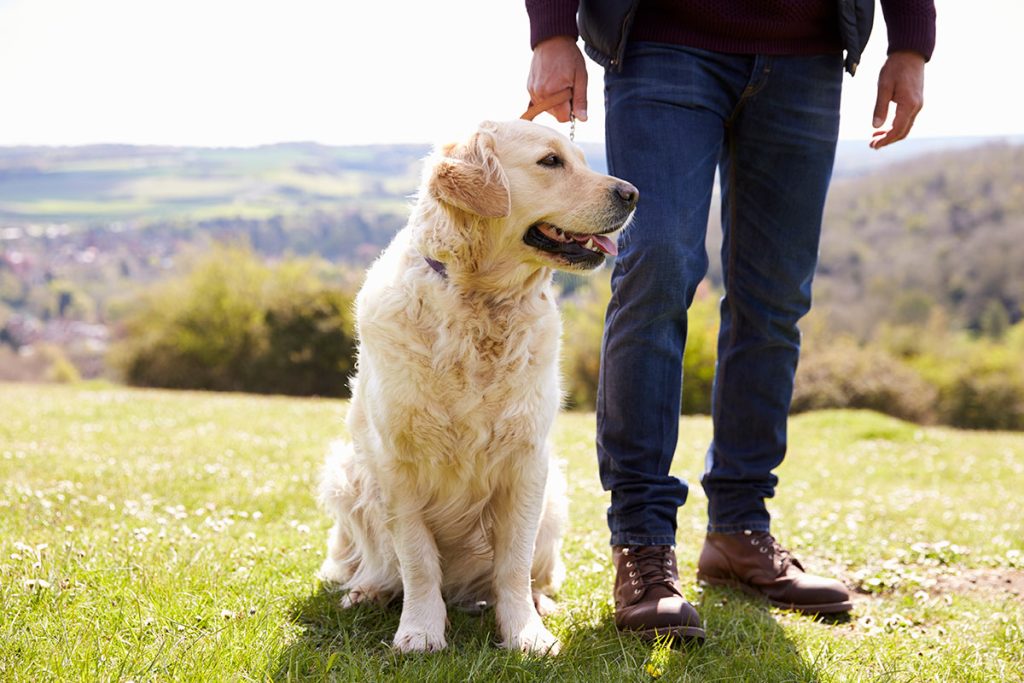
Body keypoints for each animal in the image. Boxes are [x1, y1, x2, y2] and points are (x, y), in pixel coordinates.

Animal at [319, 120, 638, 655]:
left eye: (579, 158)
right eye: (551, 161)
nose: (633, 193)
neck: (482, 305)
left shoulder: (528, 461)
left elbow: (513, 563)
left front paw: (526, 633)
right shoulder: (396, 463)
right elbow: (417, 559)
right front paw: (420, 631)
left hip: (555, 496)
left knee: (533, 573)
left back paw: (540, 603)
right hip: (347, 473)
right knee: (378, 563)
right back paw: (368, 590)